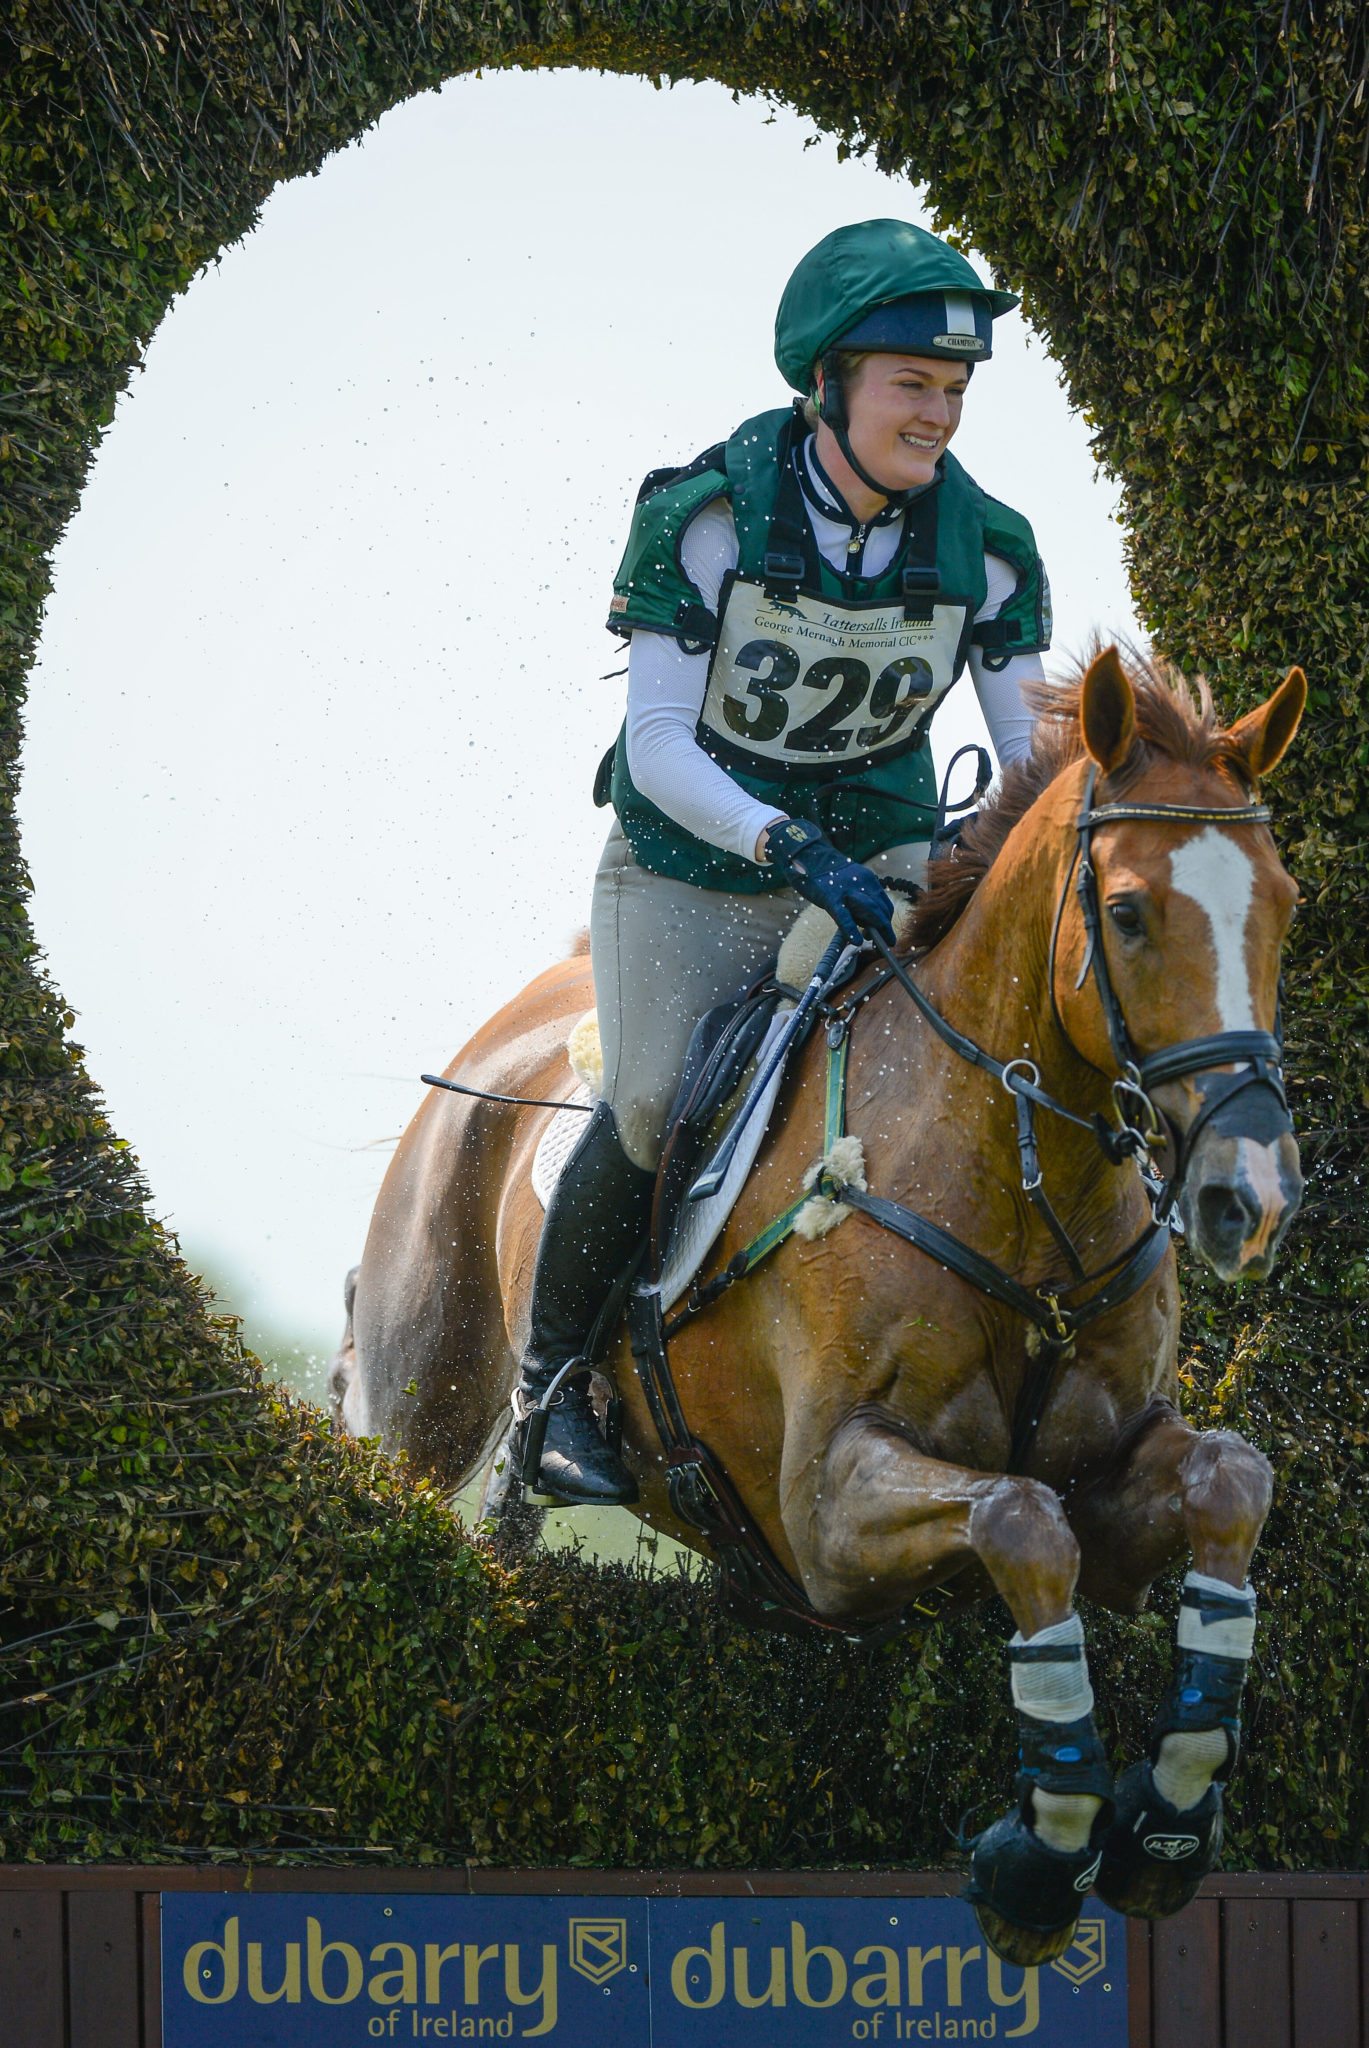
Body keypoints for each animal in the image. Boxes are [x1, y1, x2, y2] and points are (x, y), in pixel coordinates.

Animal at [332, 647, 1303, 1957]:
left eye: (1285, 904)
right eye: (1130, 911)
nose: (1248, 1194)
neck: (1017, 1179)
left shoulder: (1108, 1472)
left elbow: (1225, 1481)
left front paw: (1168, 1813)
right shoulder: (828, 1512)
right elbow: (1019, 1518)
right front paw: (1043, 1848)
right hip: (418, 1400)